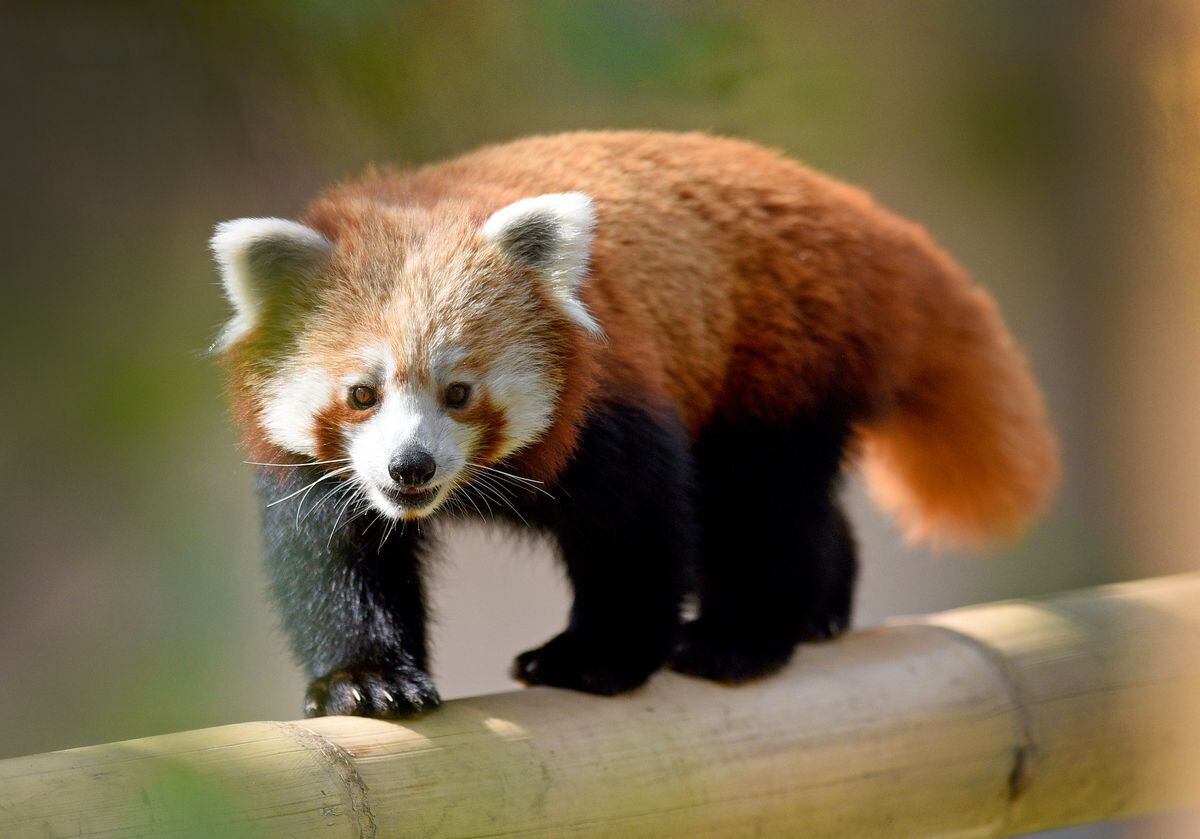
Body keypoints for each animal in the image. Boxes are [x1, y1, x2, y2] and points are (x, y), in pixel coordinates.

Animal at [211, 129, 1056, 715]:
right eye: (362, 394)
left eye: (458, 392)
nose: (409, 466)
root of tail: (872, 222)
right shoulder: (317, 470)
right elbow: (337, 560)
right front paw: (367, 680)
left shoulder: (611, 398)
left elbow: (637, 528)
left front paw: (595, 657)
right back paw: (821, 608)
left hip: (782, 356)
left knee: (758, 505)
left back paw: (739, 636)